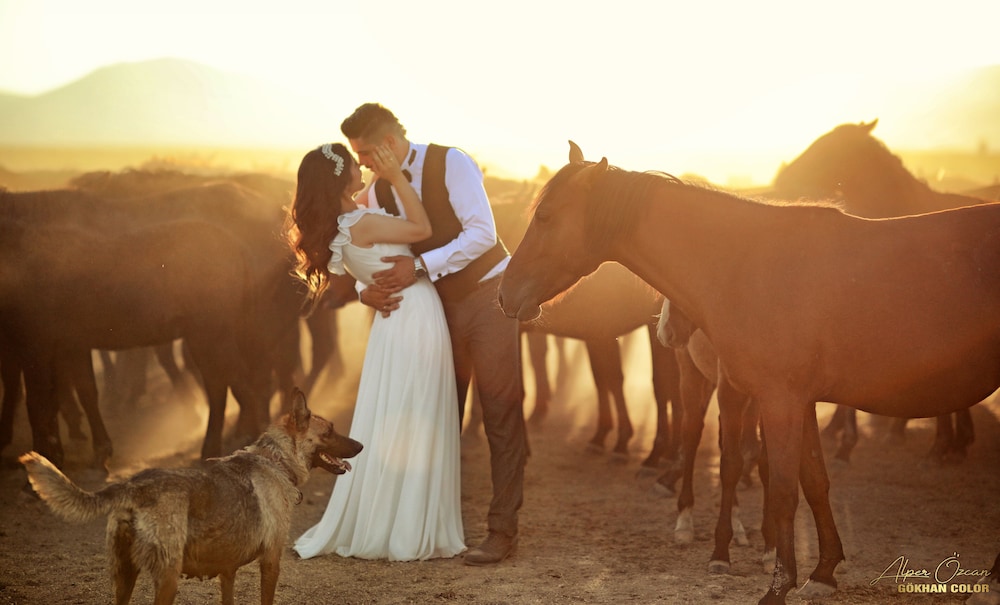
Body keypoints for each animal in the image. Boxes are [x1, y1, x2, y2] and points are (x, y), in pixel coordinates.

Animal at [19, 386, 362, 604]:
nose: (360, 445)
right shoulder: (271, 561)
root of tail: (133, 485)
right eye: (330, 431)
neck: (275, 459)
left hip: (125, 576)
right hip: (167, 579)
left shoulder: (228, 570)